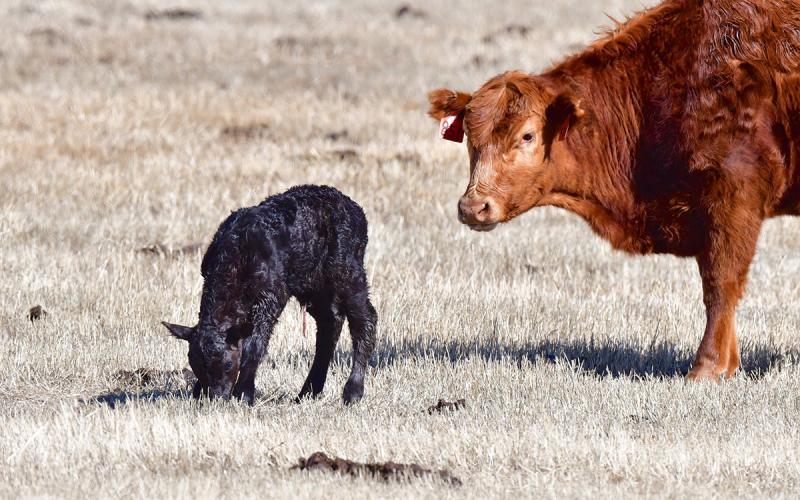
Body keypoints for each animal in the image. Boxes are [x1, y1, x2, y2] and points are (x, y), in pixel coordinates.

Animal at [163, 185, 377, 404]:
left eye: (228, 365)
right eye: (195, 365)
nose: (216, 398)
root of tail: (353, 206)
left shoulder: (272, 296)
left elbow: (255, 344)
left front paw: (244, 393)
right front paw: (198, 391)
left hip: (348, 270)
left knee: (364, 319)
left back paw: (353, 391)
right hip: (313, 285)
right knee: (330, 322)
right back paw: (308, 391)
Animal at [427, 0, 800, 381]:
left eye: (527, 135)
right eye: (470, 137)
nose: (473, 207)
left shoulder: (733, 199)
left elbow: (721, 285)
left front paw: (707, 367)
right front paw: (729, 364)